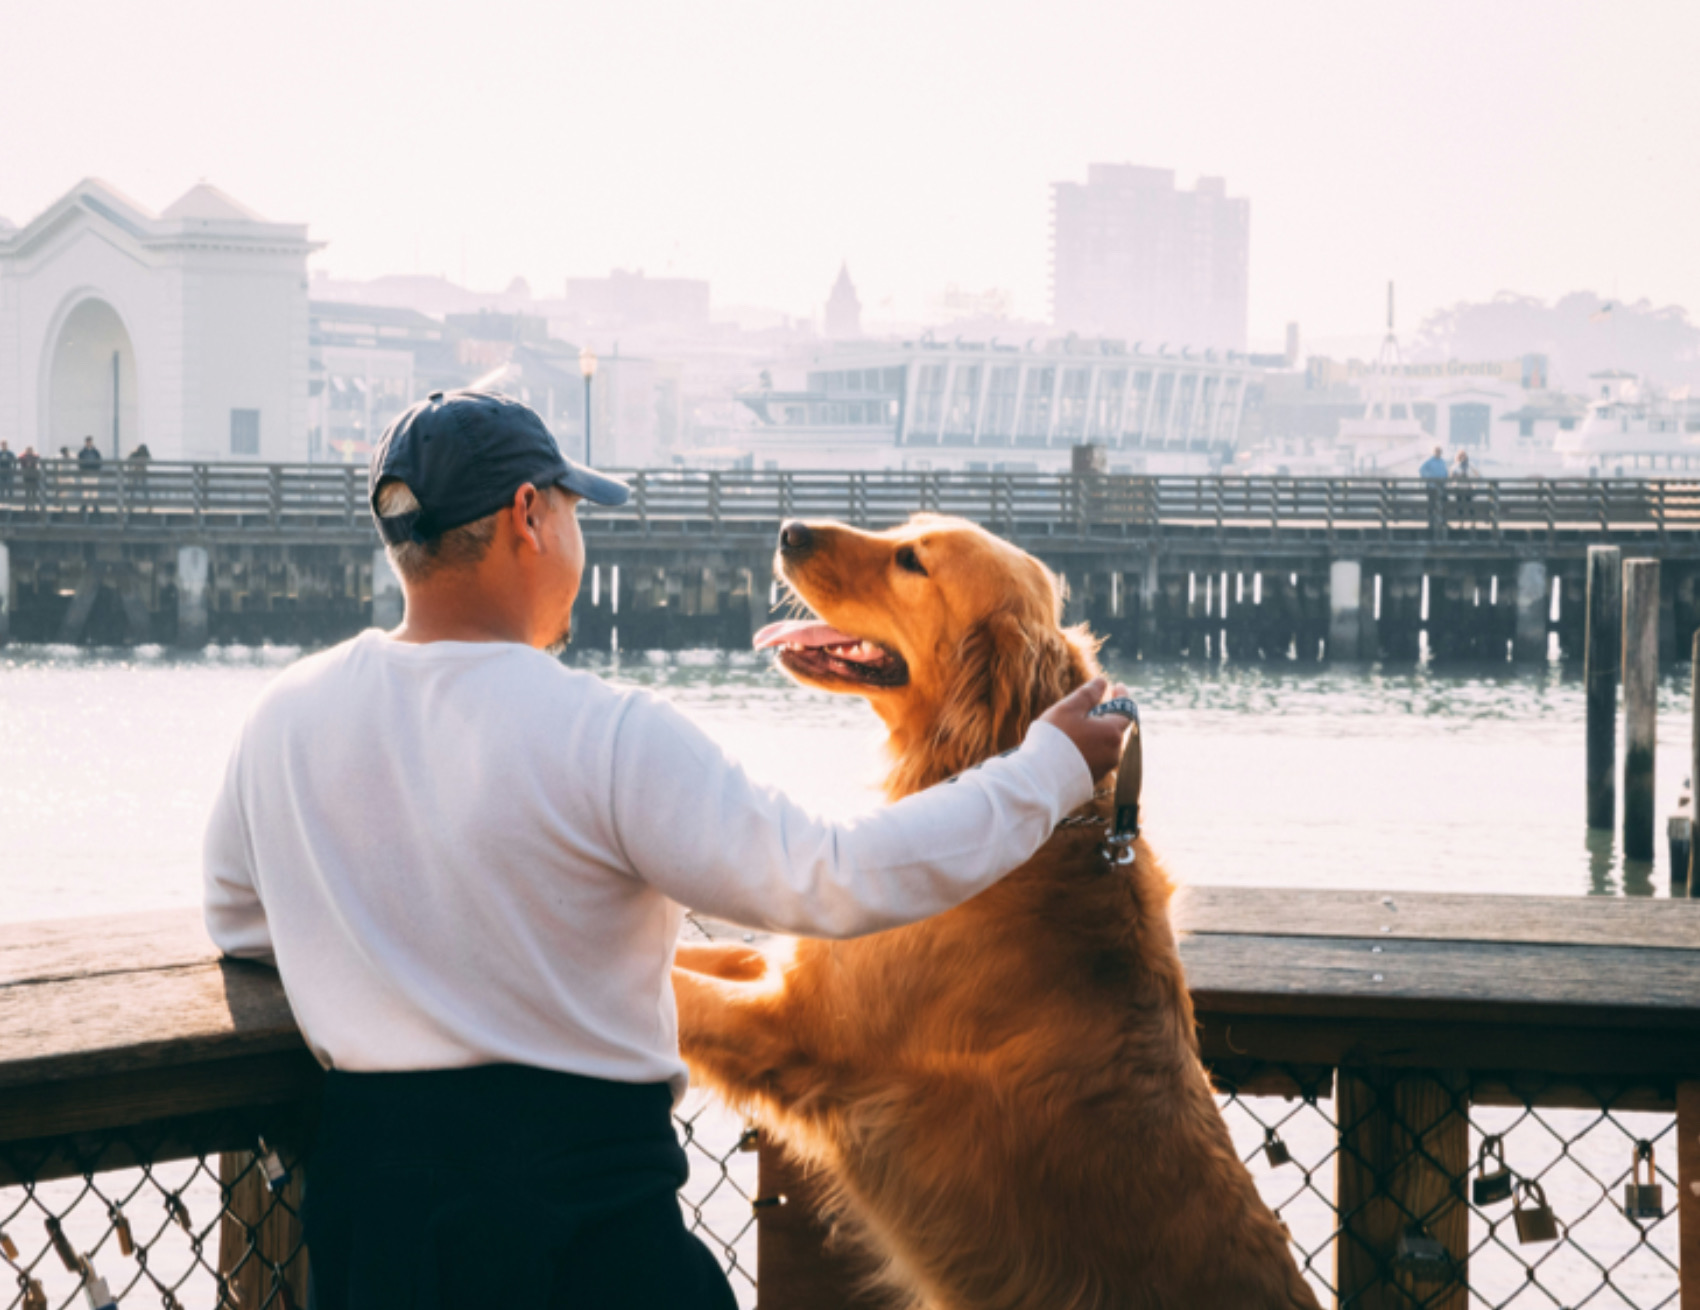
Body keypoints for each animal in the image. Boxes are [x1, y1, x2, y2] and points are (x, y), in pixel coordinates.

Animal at [673, 516, 1312, 1310]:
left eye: (911, 561)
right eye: (904, 528)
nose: (788, 529)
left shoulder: (793, 1029)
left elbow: (677, 994)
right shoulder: (793, 970)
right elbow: (693, 956)